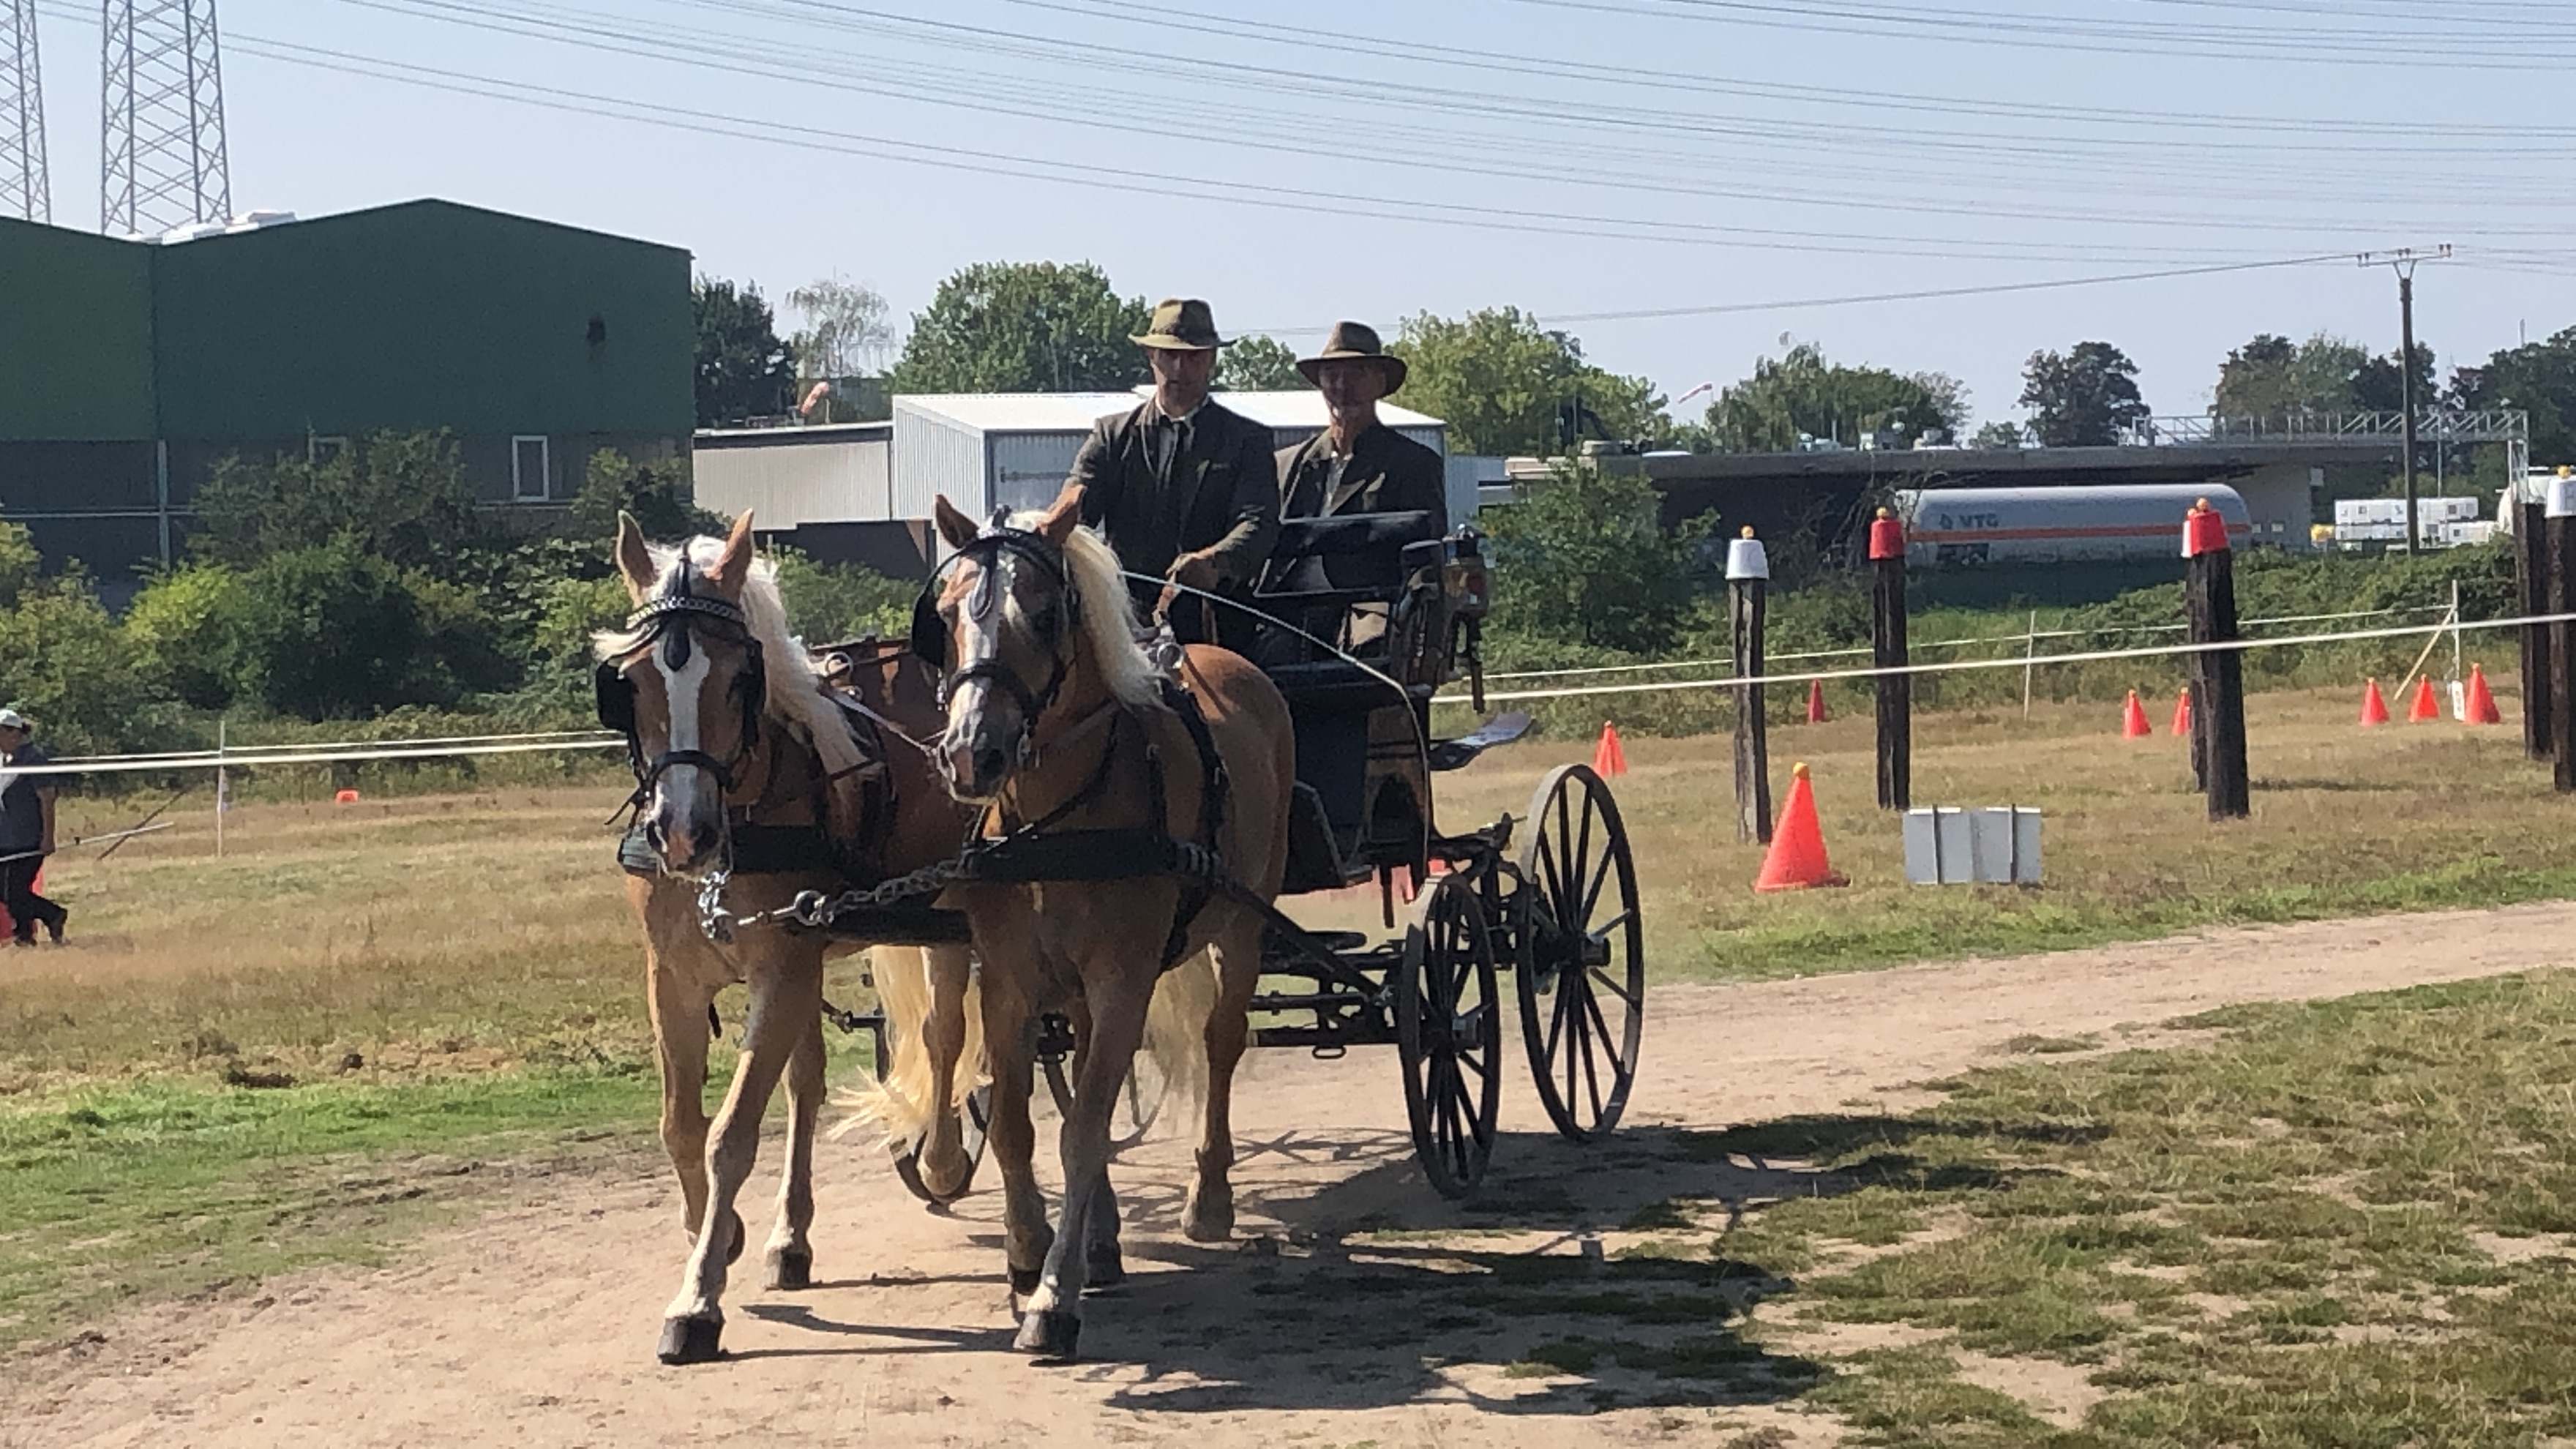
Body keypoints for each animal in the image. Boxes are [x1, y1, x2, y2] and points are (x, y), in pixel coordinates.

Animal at [597, 510, 978, 1361]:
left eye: (742, 678)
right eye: (627, 684)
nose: (683, 834)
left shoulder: (781, 969)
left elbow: (731, 1132)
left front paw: (698, 1299)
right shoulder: (672, 978)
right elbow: (682, 1125)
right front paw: (723, 1233)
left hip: (952, 912)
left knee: (945, 1036)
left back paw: (942, 1159)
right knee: (807, 1081)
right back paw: (790, 1238)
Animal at [922, 484, 1288, 1351]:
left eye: (1045, 614)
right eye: (946, 615)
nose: (973, 753)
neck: (1055, 824)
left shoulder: (1124, 981)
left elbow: (1084, 1129)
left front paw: (1054, 1299)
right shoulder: (1010, 984)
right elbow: (1019, 1127)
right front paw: (1027, 1256)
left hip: (1244, 924)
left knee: (1221, 1043)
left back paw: (1207, 1199)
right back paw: (1106, 1237)